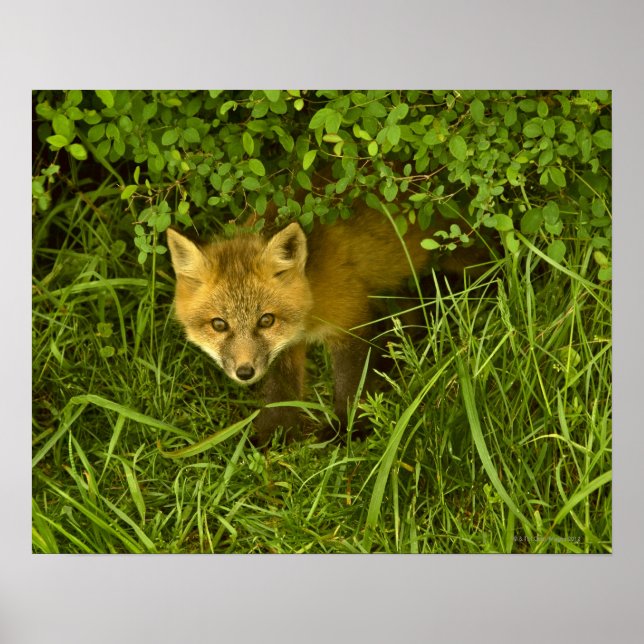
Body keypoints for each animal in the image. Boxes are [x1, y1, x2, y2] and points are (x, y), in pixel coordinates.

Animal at [166, 199, 483, 444]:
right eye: (219, 324)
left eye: (266, 320)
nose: (245, 372)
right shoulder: (286, 347)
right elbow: (280, 392)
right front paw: (273, 438)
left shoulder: (350, 319)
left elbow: (350, 386)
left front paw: (348, 432)